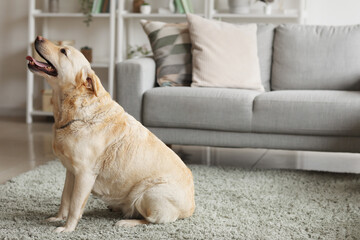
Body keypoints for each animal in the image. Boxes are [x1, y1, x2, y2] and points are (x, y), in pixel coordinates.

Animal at [26, 36, 195, 232]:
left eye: (64, 51)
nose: (38, 38)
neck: (74, 112)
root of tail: (191, 207)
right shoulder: (70, 171)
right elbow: (65, 199)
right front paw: (58, 218)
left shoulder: (84, 174)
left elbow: (75, 204)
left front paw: (67, 228)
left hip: (148, 192)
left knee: (151, 219)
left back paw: (126, 222)